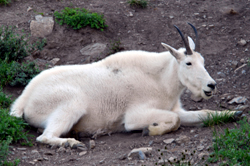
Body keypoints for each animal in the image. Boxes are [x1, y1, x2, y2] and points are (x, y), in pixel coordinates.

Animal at [10, 22, 242, 147]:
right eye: (188, 63)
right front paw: (150, 130)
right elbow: (174, 121)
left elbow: (203, 113)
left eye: (203, 61)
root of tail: (24, 99)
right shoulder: (135, 115)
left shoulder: (175, 109)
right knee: (45, 136)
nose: (211, 86)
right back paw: (72, 142)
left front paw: (235, 113)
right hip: (71, 105)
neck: (161, 80)